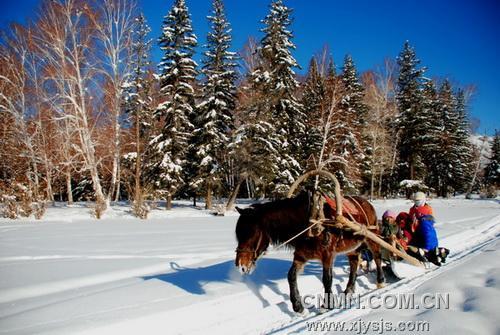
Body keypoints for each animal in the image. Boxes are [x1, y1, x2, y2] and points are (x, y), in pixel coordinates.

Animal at [235, 192, 386, 316]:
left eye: (251, 234)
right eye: (238, 234)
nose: (240, 265)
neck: (309, 223)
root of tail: (367, 202)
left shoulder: (328, 254)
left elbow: (327, 279)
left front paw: (326, 305)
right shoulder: (301, 255)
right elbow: (291, 276)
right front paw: (298, 307)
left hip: (372, 237)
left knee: (377, 257)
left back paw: (380, 281)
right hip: (352, 247)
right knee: (354, 263)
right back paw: (348, 291)